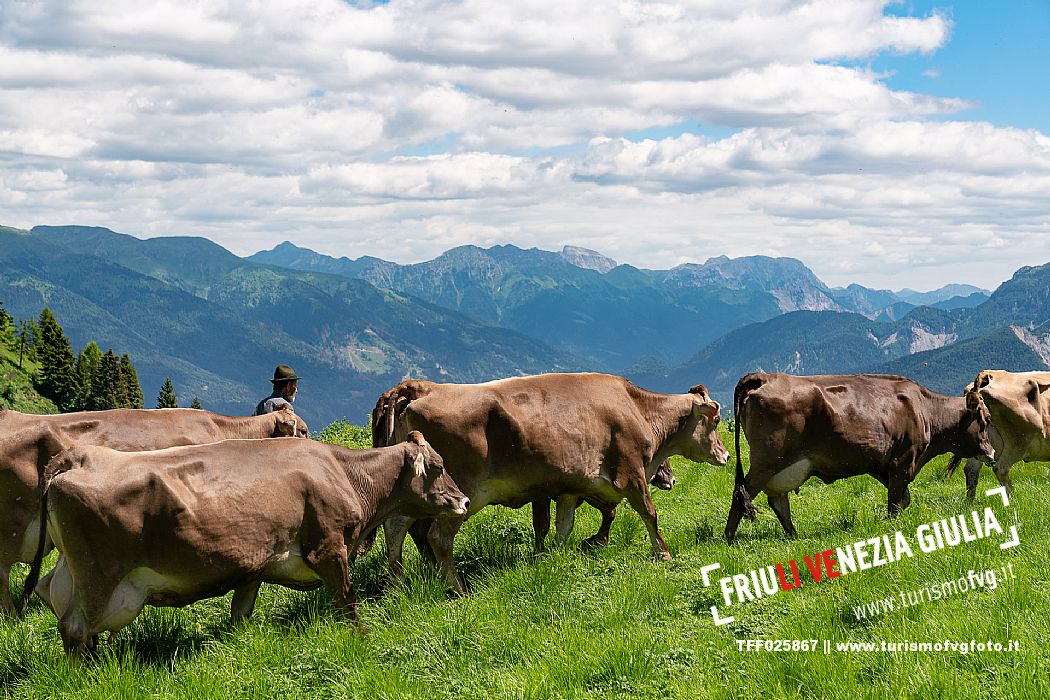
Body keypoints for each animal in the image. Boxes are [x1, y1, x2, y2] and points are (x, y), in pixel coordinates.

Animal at [35, 432, 468, 659]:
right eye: (438, 467)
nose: (463, 501)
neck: (344, 473)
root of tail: (78, 455)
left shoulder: (254, 564)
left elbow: (240, 615)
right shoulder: (329, 547)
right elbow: (347, 600)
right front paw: (363, 639)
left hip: (72, 571)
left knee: (53, 599)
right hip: (101, 574)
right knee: (75, 626)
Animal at [373, 371, 726, 591]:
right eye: (716, 421)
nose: (724, 455)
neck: (637, 408)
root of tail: (413, 392)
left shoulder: (570, 487)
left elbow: (562, 526)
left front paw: (551, 558)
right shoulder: (631, 475)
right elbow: (649, 514)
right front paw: (663, 554)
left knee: (396, 527)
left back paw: (399, 581)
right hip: (459, 495)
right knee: (437, 537)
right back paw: (458, 588)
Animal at [722, 371, 991, 541]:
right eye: (985, 420)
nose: (991, 452)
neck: (925, 410)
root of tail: (764, 376)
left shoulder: (886, 466)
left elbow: (903, 499)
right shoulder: (902, 461)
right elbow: (895, 503)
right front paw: (892, 528)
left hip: (782, 467)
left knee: (778, 501)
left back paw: (794, 537)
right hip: (766, 462)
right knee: (742, 495)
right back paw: (728, 540)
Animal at [949, 369, 1050, 501]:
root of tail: (988, 374)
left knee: (971, 470)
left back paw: (969, 502)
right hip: (1019, 442)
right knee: (1000, 468)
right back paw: (1013, 499)